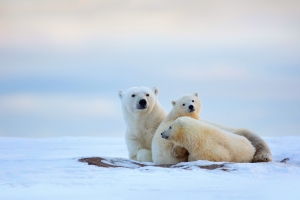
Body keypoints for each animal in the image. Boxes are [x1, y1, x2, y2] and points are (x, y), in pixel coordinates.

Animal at [119, 86, 272, 163]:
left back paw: (261, 156)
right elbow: (138, 152)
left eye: (147, 94)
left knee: (255, 139)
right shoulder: (134, 138)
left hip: (238, 132)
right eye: (133, 95)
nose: (142, 101)